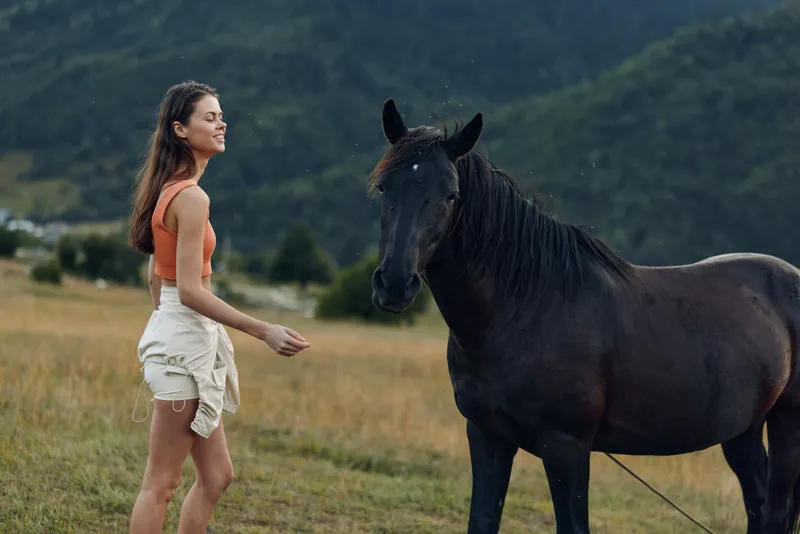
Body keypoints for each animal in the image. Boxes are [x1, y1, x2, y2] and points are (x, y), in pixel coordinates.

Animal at [368, 98, 800, 534]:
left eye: (451, 195)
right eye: (383, 186)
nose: (395, 283)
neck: (524, 310)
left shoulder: (566, 446)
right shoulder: (488, 436)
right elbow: (483, 519)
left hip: (786, 423)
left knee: (775, 510)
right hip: (744, 428)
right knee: (757, 504)